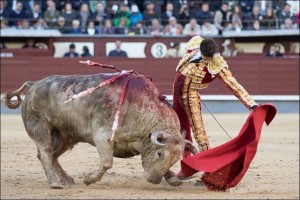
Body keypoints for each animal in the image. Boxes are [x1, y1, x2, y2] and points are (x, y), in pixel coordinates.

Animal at [1, 70, 197, 189]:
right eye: (159, 154)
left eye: (176, 159)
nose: (154, 180)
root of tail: (33, 84)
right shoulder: (103, 136)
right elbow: (107, 162)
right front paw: (88, 179)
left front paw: (172, 178)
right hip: (40, 127)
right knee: (45, 153)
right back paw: (55, 182)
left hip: (64, 135)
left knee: (52, 155)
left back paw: (66, 179)